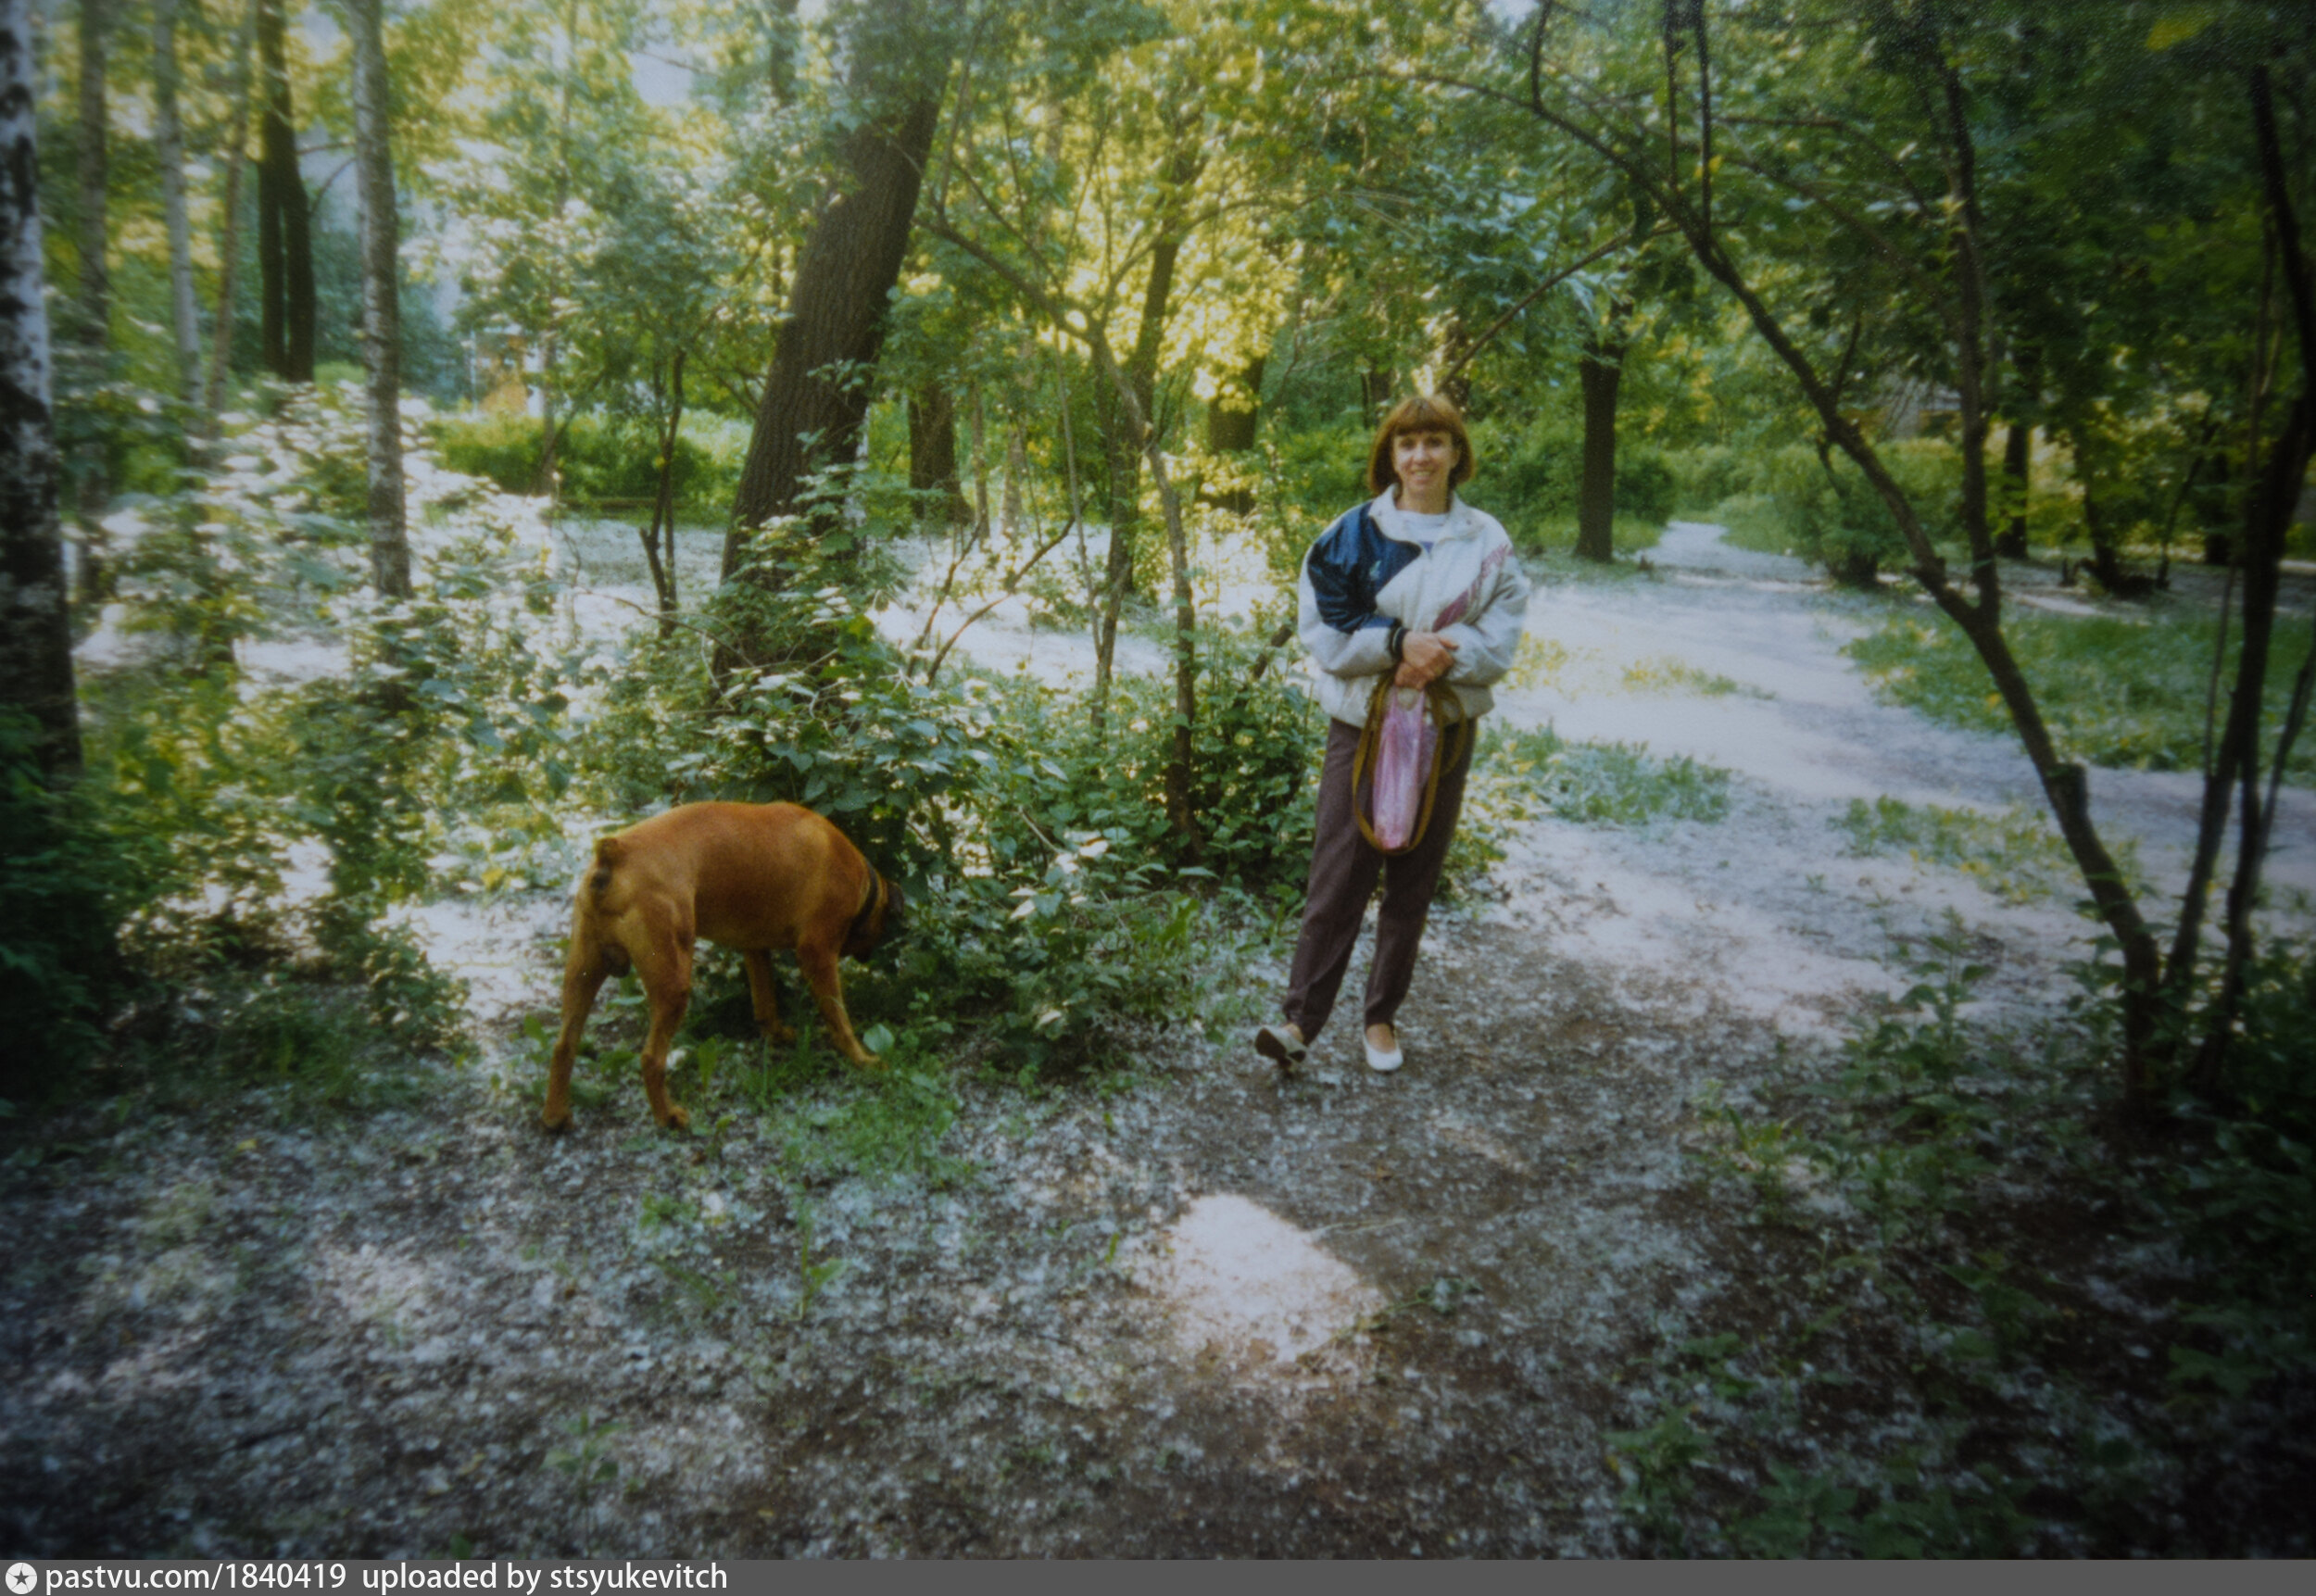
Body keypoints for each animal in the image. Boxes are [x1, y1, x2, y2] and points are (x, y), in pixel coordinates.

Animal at [541, 801, 902, 1132]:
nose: (868, 955)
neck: (859, 877)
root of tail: (615, 852)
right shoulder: (817, 954)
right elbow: (840, 1019)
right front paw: (861, 1059)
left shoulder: (755, 949)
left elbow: (765, 1002)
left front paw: (776, 1034)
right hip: (673, 986)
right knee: (650, 1058)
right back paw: (668, 1116)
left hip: (582, 974)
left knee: (563, 1045)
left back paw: (556, 1116)